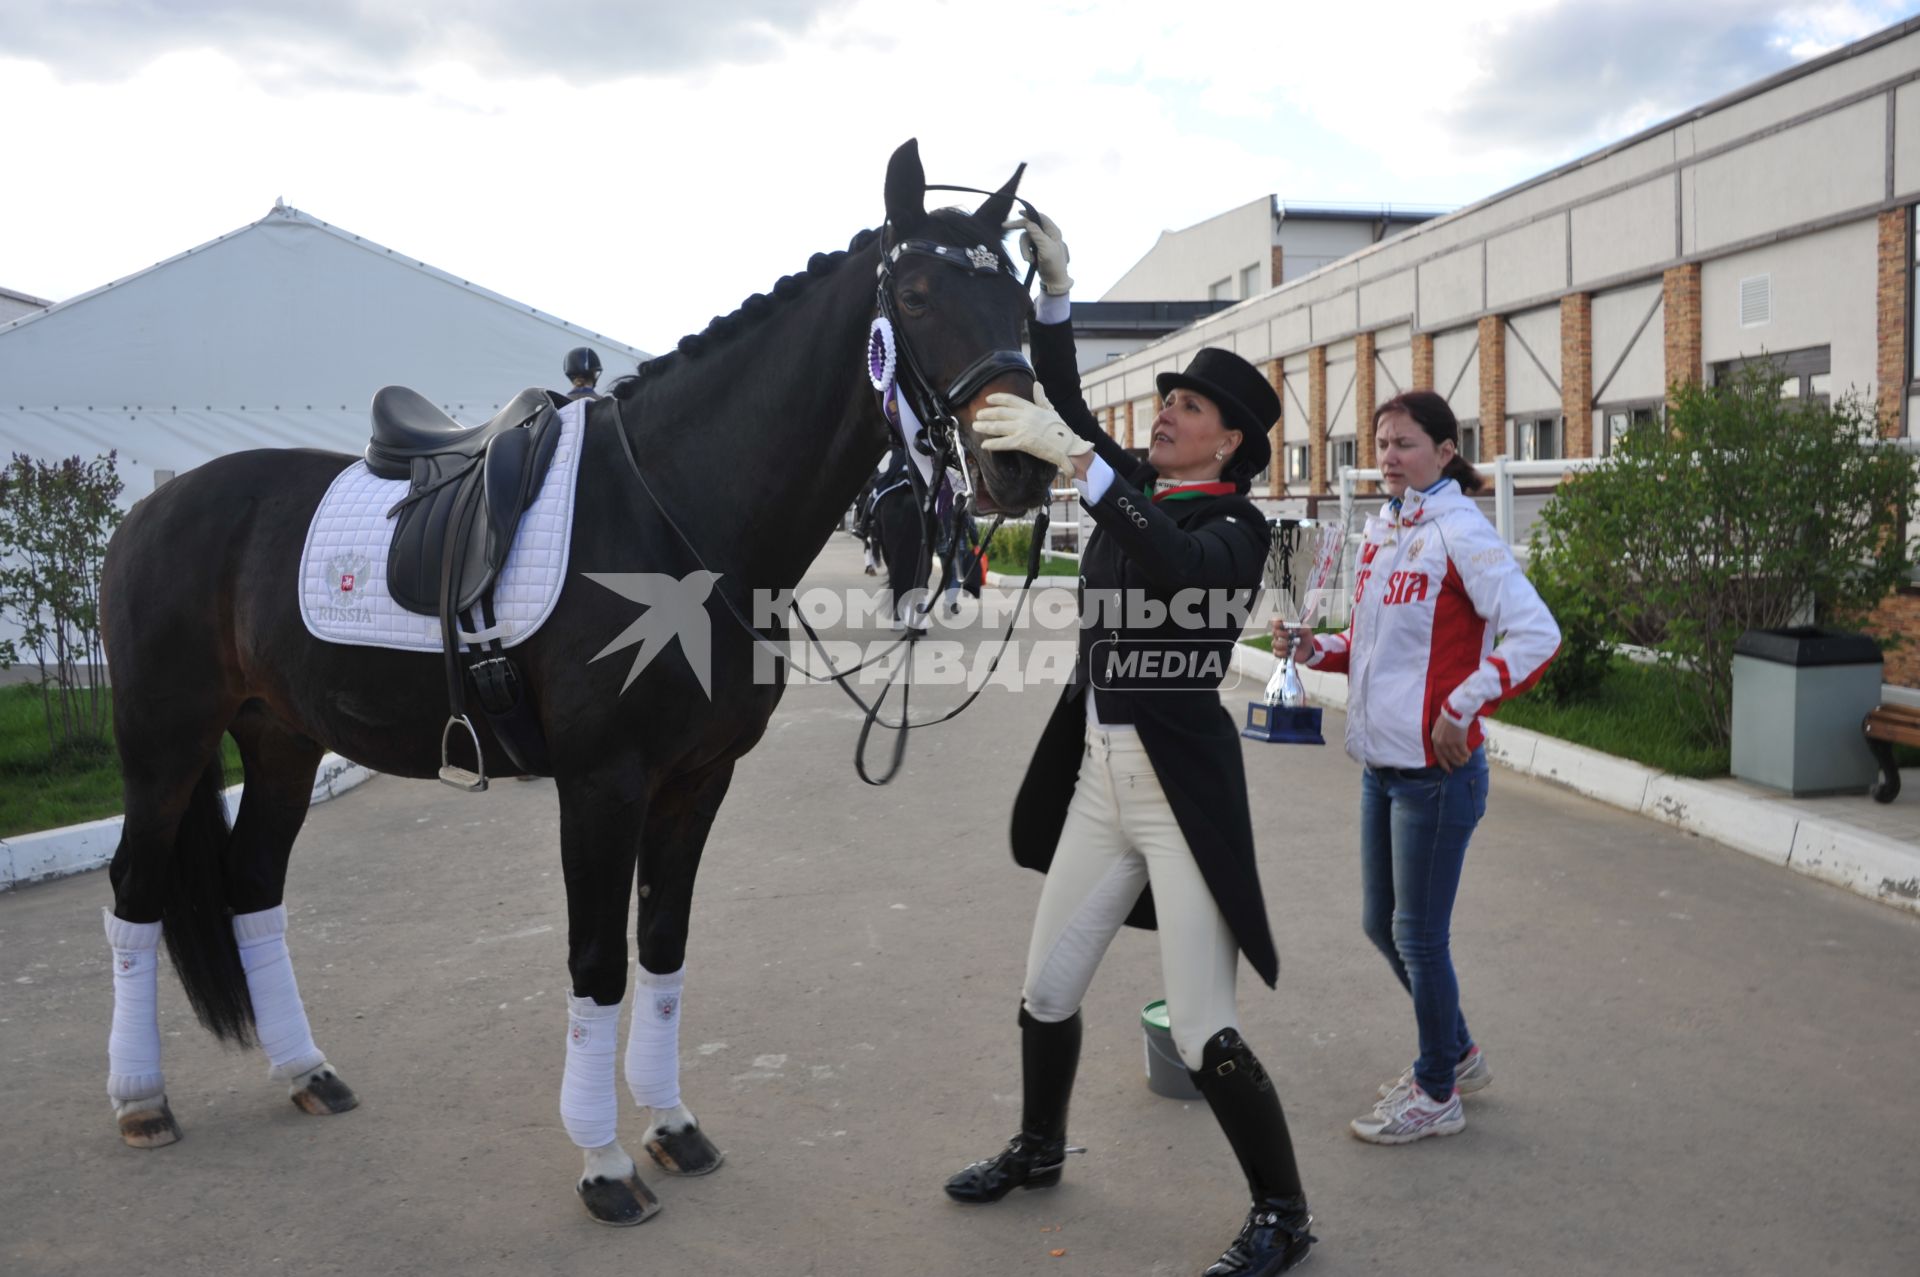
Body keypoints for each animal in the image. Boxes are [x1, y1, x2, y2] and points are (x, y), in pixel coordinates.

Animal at [93, 139, 1052, 1228]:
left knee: (254, 883)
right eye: (921, 294)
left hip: (283, 738)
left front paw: (672, 1124)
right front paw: (602, 1162)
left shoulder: (696, 780)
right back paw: (141, 1098)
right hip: (164, 743)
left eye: (1020, 305)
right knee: (133, 893)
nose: (1023, 468)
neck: (676, 515)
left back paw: (307, 1070)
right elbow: (596, 961)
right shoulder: (604, 782)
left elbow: (663, 947)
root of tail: (150, 510)